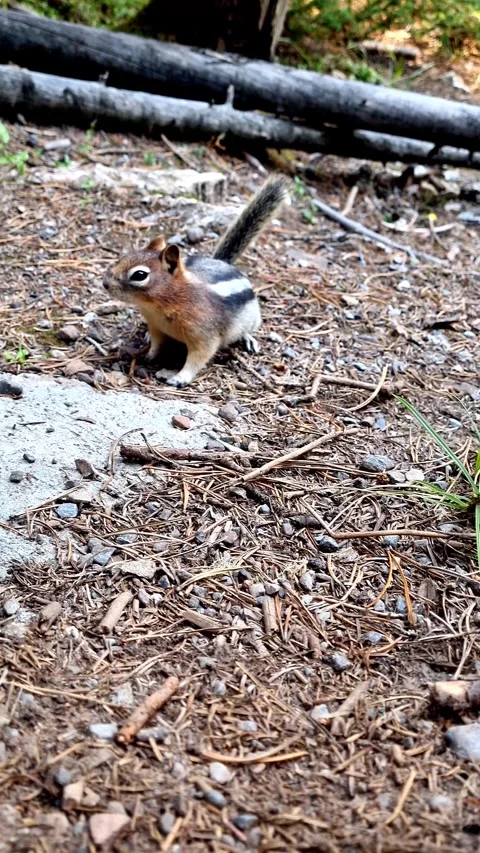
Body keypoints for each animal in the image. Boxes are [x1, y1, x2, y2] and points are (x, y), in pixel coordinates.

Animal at [103, 175, 289, 387]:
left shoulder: (204, 336)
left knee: (249, 328)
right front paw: (149, 354)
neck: (162, 305)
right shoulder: (156, 325)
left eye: (139, 275)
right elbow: (157, 342)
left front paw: (180, 378)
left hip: (251, 318)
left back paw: (249, 338)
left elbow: (198, 358)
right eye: (124, 257)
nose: (105, 283)